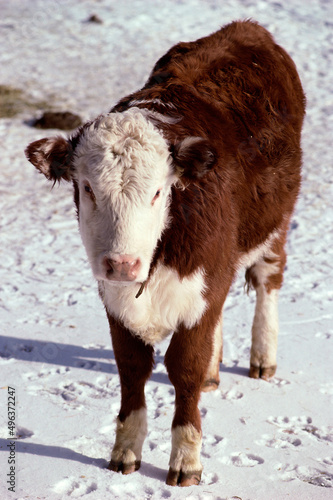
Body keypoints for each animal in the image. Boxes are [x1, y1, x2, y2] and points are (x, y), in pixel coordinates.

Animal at [26, 20, 304, 488]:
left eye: (158, 192)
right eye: (88, 188)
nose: (122, 263)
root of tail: (247, 29)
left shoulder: (201, 287)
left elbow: (184, 367)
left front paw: (186, 459)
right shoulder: (116, 298)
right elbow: (132, 367)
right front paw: (124, 452)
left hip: (275, 222)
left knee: (268, 280)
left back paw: (263, 358)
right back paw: (215, 371)